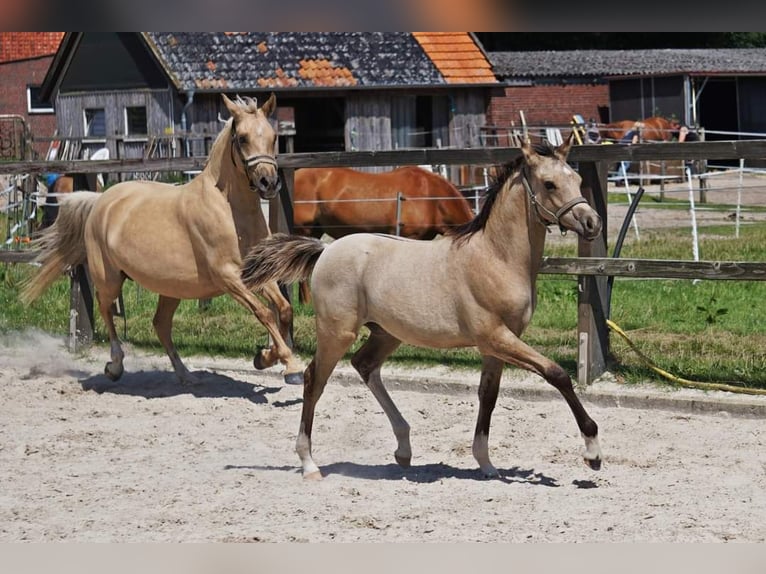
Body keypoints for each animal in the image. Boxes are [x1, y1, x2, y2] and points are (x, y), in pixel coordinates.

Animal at [21, 93, 304, 388]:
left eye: (273, 136)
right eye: (243, 138)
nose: (268, 182)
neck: (230, 210)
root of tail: (100, 200)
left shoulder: (258, 272)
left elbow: (284, 309)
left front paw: (267, 358)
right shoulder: (228, 276)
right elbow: (265, 313)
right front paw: (290, 364)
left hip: (171, 287)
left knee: (160, 324)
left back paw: (185, 374)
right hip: (109, 278)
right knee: (106, 308)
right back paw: (115, 366)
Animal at [244, 133, 608, 480]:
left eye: (577, 179)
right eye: (549, 184)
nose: (592, 223)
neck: (495, 258)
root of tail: (325, 251)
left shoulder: (496, 345)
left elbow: (488, 396)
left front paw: (486, 463)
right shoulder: (495, 337)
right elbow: (557, 374)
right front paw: (592, 452)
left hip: (386, 333)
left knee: (364, 365)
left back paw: (403, 448)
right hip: (337, 332)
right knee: (313, 380)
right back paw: (309, 463)